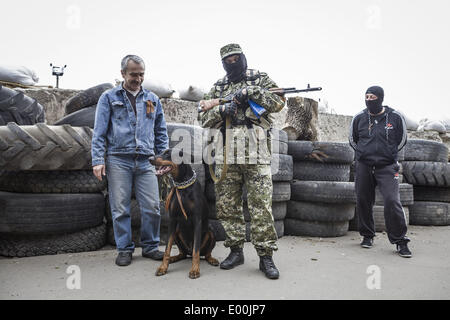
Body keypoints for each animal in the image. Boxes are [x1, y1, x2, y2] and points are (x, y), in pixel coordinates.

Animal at [150, 149, 219, 278]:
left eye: (168, 154)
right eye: (161, 152)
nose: (150, 159)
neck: (182, 185)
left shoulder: (197, 220)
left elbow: (196, 250)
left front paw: (195, 270)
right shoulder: (172, 220)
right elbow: (167, 248)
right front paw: (163, 267)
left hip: (211, 232)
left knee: (204, 253)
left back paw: (212, 259)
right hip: (177, 233)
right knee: (182, 253)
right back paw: (173, 258)